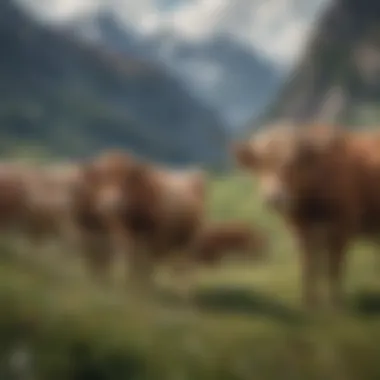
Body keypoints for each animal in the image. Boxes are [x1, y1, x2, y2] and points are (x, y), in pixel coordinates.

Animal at [232, 123, 380, 310]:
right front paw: (310, 304)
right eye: (261, 164)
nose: (274, 197)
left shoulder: (341, 229)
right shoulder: (302, 232)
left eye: (291, 163)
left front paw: (336, 305)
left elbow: (334, 269)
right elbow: (309, 267)